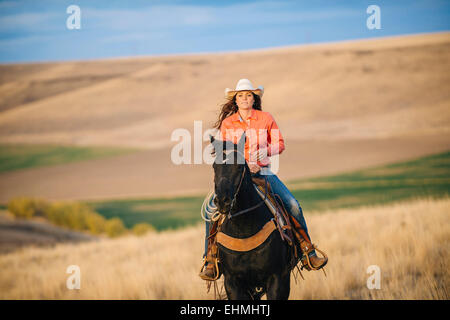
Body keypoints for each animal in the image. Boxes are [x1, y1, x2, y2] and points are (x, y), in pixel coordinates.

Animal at [211, 133, 296, 300]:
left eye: (239, 166)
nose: (222, 201)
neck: (244, 229)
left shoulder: (278, 278)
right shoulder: (232, 282)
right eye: (214, 166)